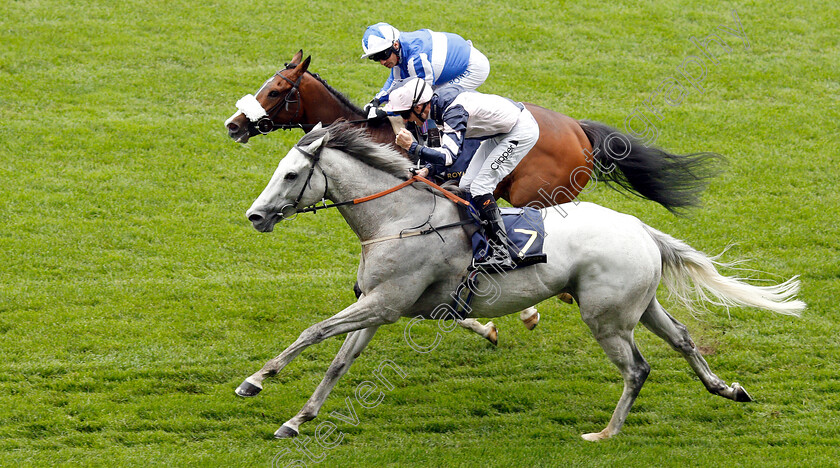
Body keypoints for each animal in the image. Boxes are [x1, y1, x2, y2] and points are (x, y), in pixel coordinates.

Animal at [235, 122, 800, 440]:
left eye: (291, 175)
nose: (255, 216)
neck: (400, 217)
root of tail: (641, 228)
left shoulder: (384, 303)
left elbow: (313, 332)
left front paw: (257, 380)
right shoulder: (379, 305)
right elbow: (338, 362)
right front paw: (297, 419)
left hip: (606, 318)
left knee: (637, 369)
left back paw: (606, 434)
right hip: (640, 306)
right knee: (681, 339)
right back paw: (727, 389)